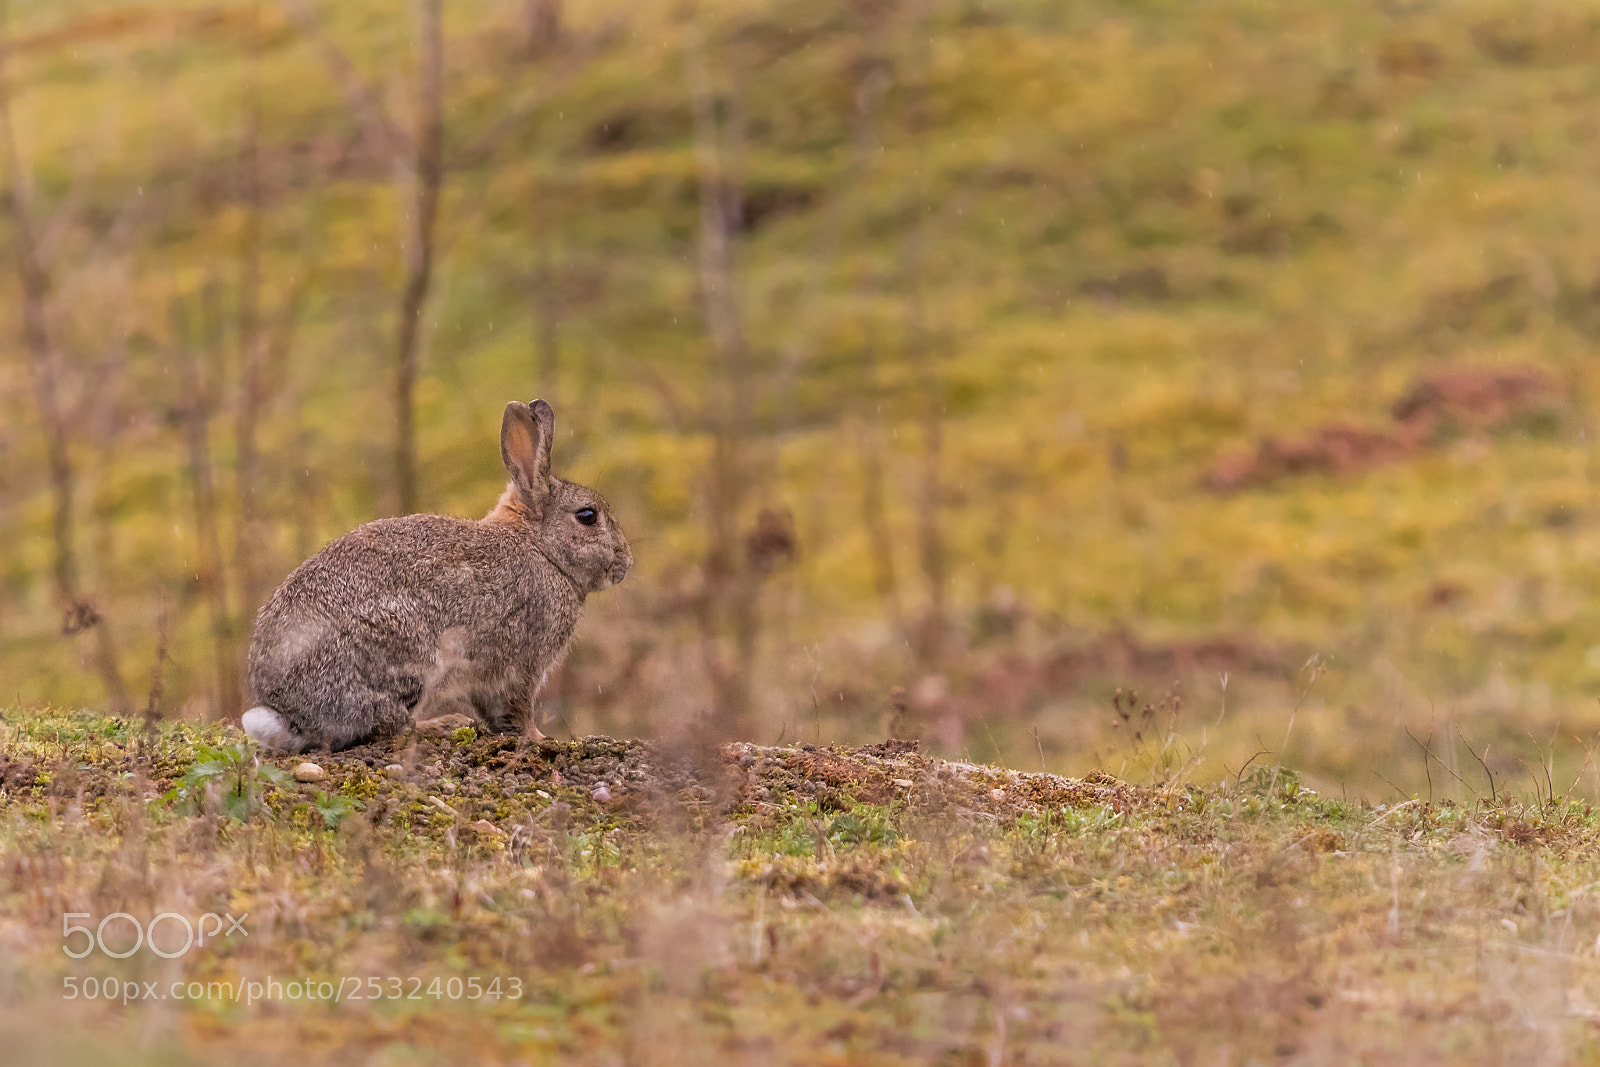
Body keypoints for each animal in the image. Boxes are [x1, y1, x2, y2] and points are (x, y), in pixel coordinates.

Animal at [241, 399, 632, 753]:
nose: (625, 562)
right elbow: (518, 709)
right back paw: (446, 724)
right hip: (406, 653)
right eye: (587, 516)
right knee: (390, 727)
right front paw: (538, 738)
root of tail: (291, 715)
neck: (540, 547)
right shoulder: (522, 663)